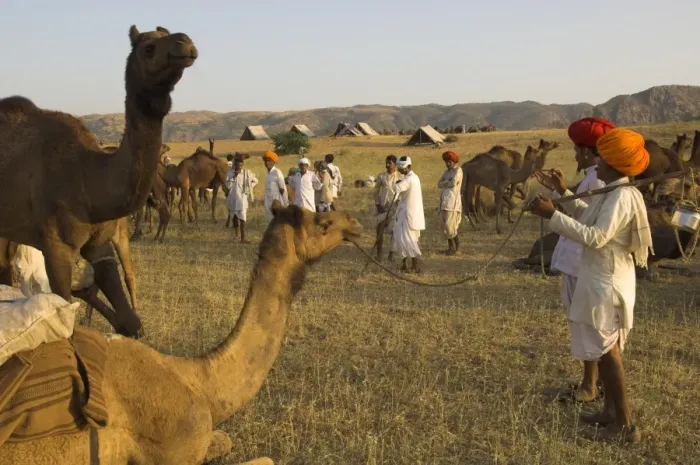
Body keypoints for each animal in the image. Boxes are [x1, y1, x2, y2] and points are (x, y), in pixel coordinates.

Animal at [0, 26, 197, 338]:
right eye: (148, 48)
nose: (185, 43)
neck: (90, 179)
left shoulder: (100, 246)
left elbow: (130, 322)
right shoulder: (56, 247)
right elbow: (64, 313)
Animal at [0, 202, 363, 465]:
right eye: (322, 222)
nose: (354, 222)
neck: (197, 380)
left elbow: (226, 439)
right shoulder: (176, 448)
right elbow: (266, 459)